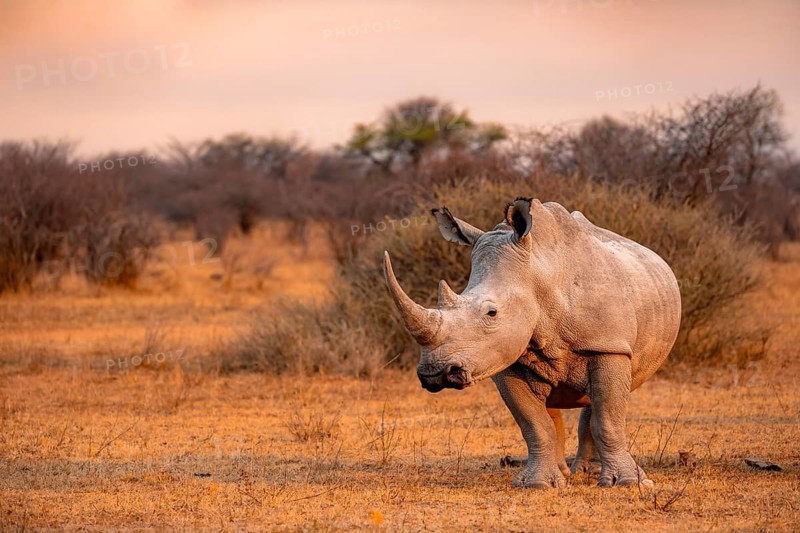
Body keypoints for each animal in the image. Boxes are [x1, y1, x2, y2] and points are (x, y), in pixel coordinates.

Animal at [383, 198, 681, 489]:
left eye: (491, 313)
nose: (434, 374)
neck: (536, 275)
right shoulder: (506, 359)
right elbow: (533, 423)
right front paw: (537, 484)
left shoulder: (609, 345)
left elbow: (608, 417)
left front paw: (629, 482)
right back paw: (565, 473)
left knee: (599, 403)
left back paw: (590, 472)